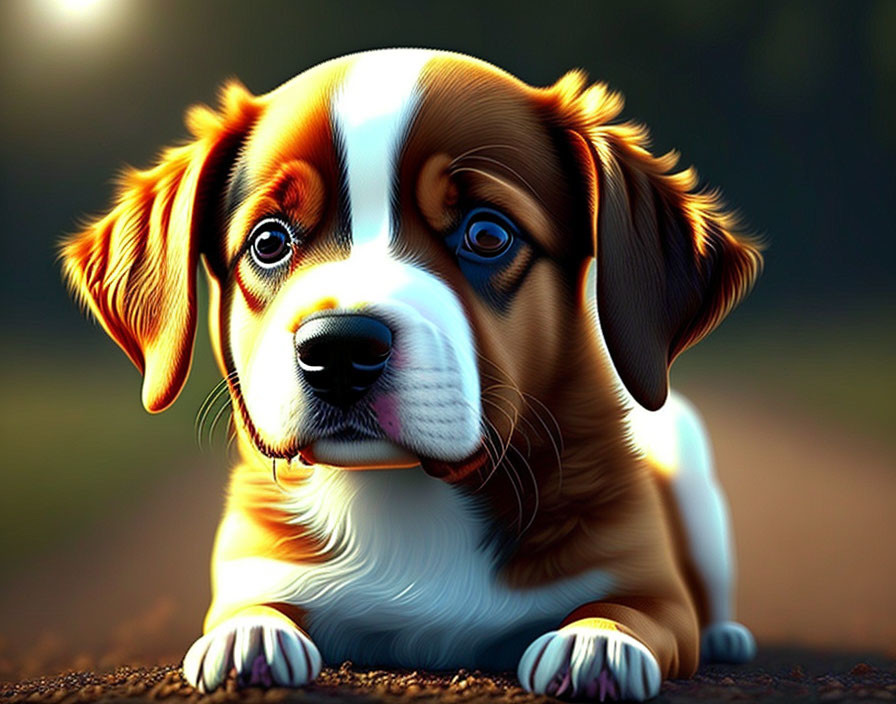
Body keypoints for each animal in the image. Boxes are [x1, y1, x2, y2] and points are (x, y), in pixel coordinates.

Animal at [63, 48, 764, 700]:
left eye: (487, 235)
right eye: (269, 242)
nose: (339, 350)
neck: (400, 492)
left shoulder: (649, 586)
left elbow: (632, 609)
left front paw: (598, 643)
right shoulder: (253, 566)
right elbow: (246, 605)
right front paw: (249, 636)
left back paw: (727, 635)